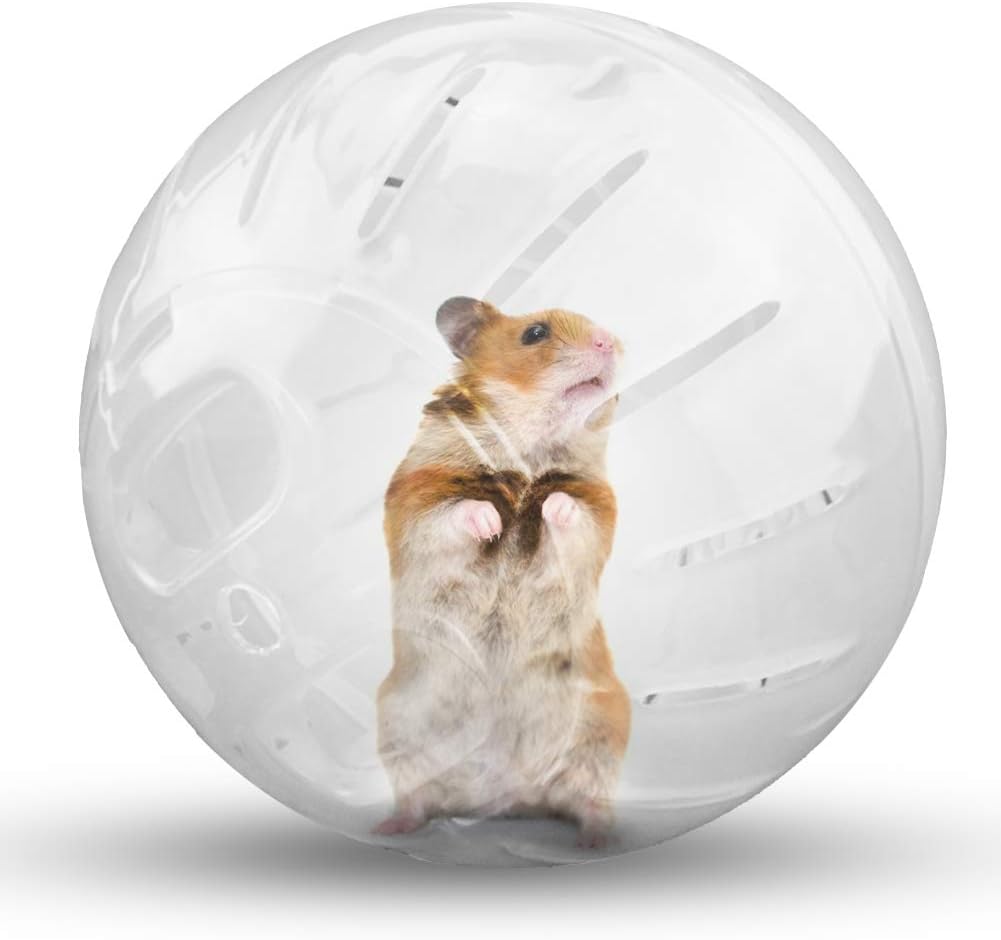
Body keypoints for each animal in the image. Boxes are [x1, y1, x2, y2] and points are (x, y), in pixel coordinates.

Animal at [376, 296, 630, 847]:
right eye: (535, 333)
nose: (611, 341)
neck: (529, 449)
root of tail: (507, 795)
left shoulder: (597, 510)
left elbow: (569, 511)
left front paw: (549, 508)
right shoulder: (417, 500)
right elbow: (456, 514)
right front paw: (492, 522)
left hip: (601, 729)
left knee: (588, 797)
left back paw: (598, 840)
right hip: (398, 726)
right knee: (417, 797)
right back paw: (388, 827)